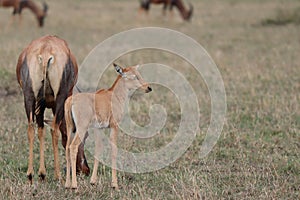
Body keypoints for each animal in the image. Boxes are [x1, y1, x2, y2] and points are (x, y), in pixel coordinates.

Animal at [16, 34, 89, 184]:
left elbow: (40, 130)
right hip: (60, 97)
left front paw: (42, 173)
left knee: (31, 128)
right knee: (54, 130)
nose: (85, 170)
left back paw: (31, 174)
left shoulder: (40, 105)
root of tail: (45, 51)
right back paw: (58, 175)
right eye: (84, 136)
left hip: (29, 96)